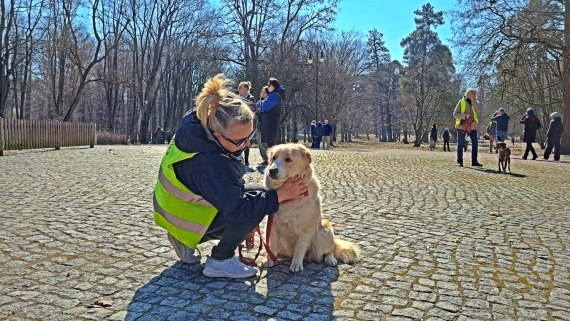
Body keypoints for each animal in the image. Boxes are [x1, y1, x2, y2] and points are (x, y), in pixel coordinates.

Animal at [260, 142, 358, 270]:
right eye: (274, 158)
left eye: (288, 159)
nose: (272, 171)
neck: (291, 198)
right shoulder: (273, 225)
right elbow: (272, 246)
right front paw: (269, 261)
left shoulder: (305, 230)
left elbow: (300, 248)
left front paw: (296, 264)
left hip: (324, 232)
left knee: (330, 250)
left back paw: (330, 259)